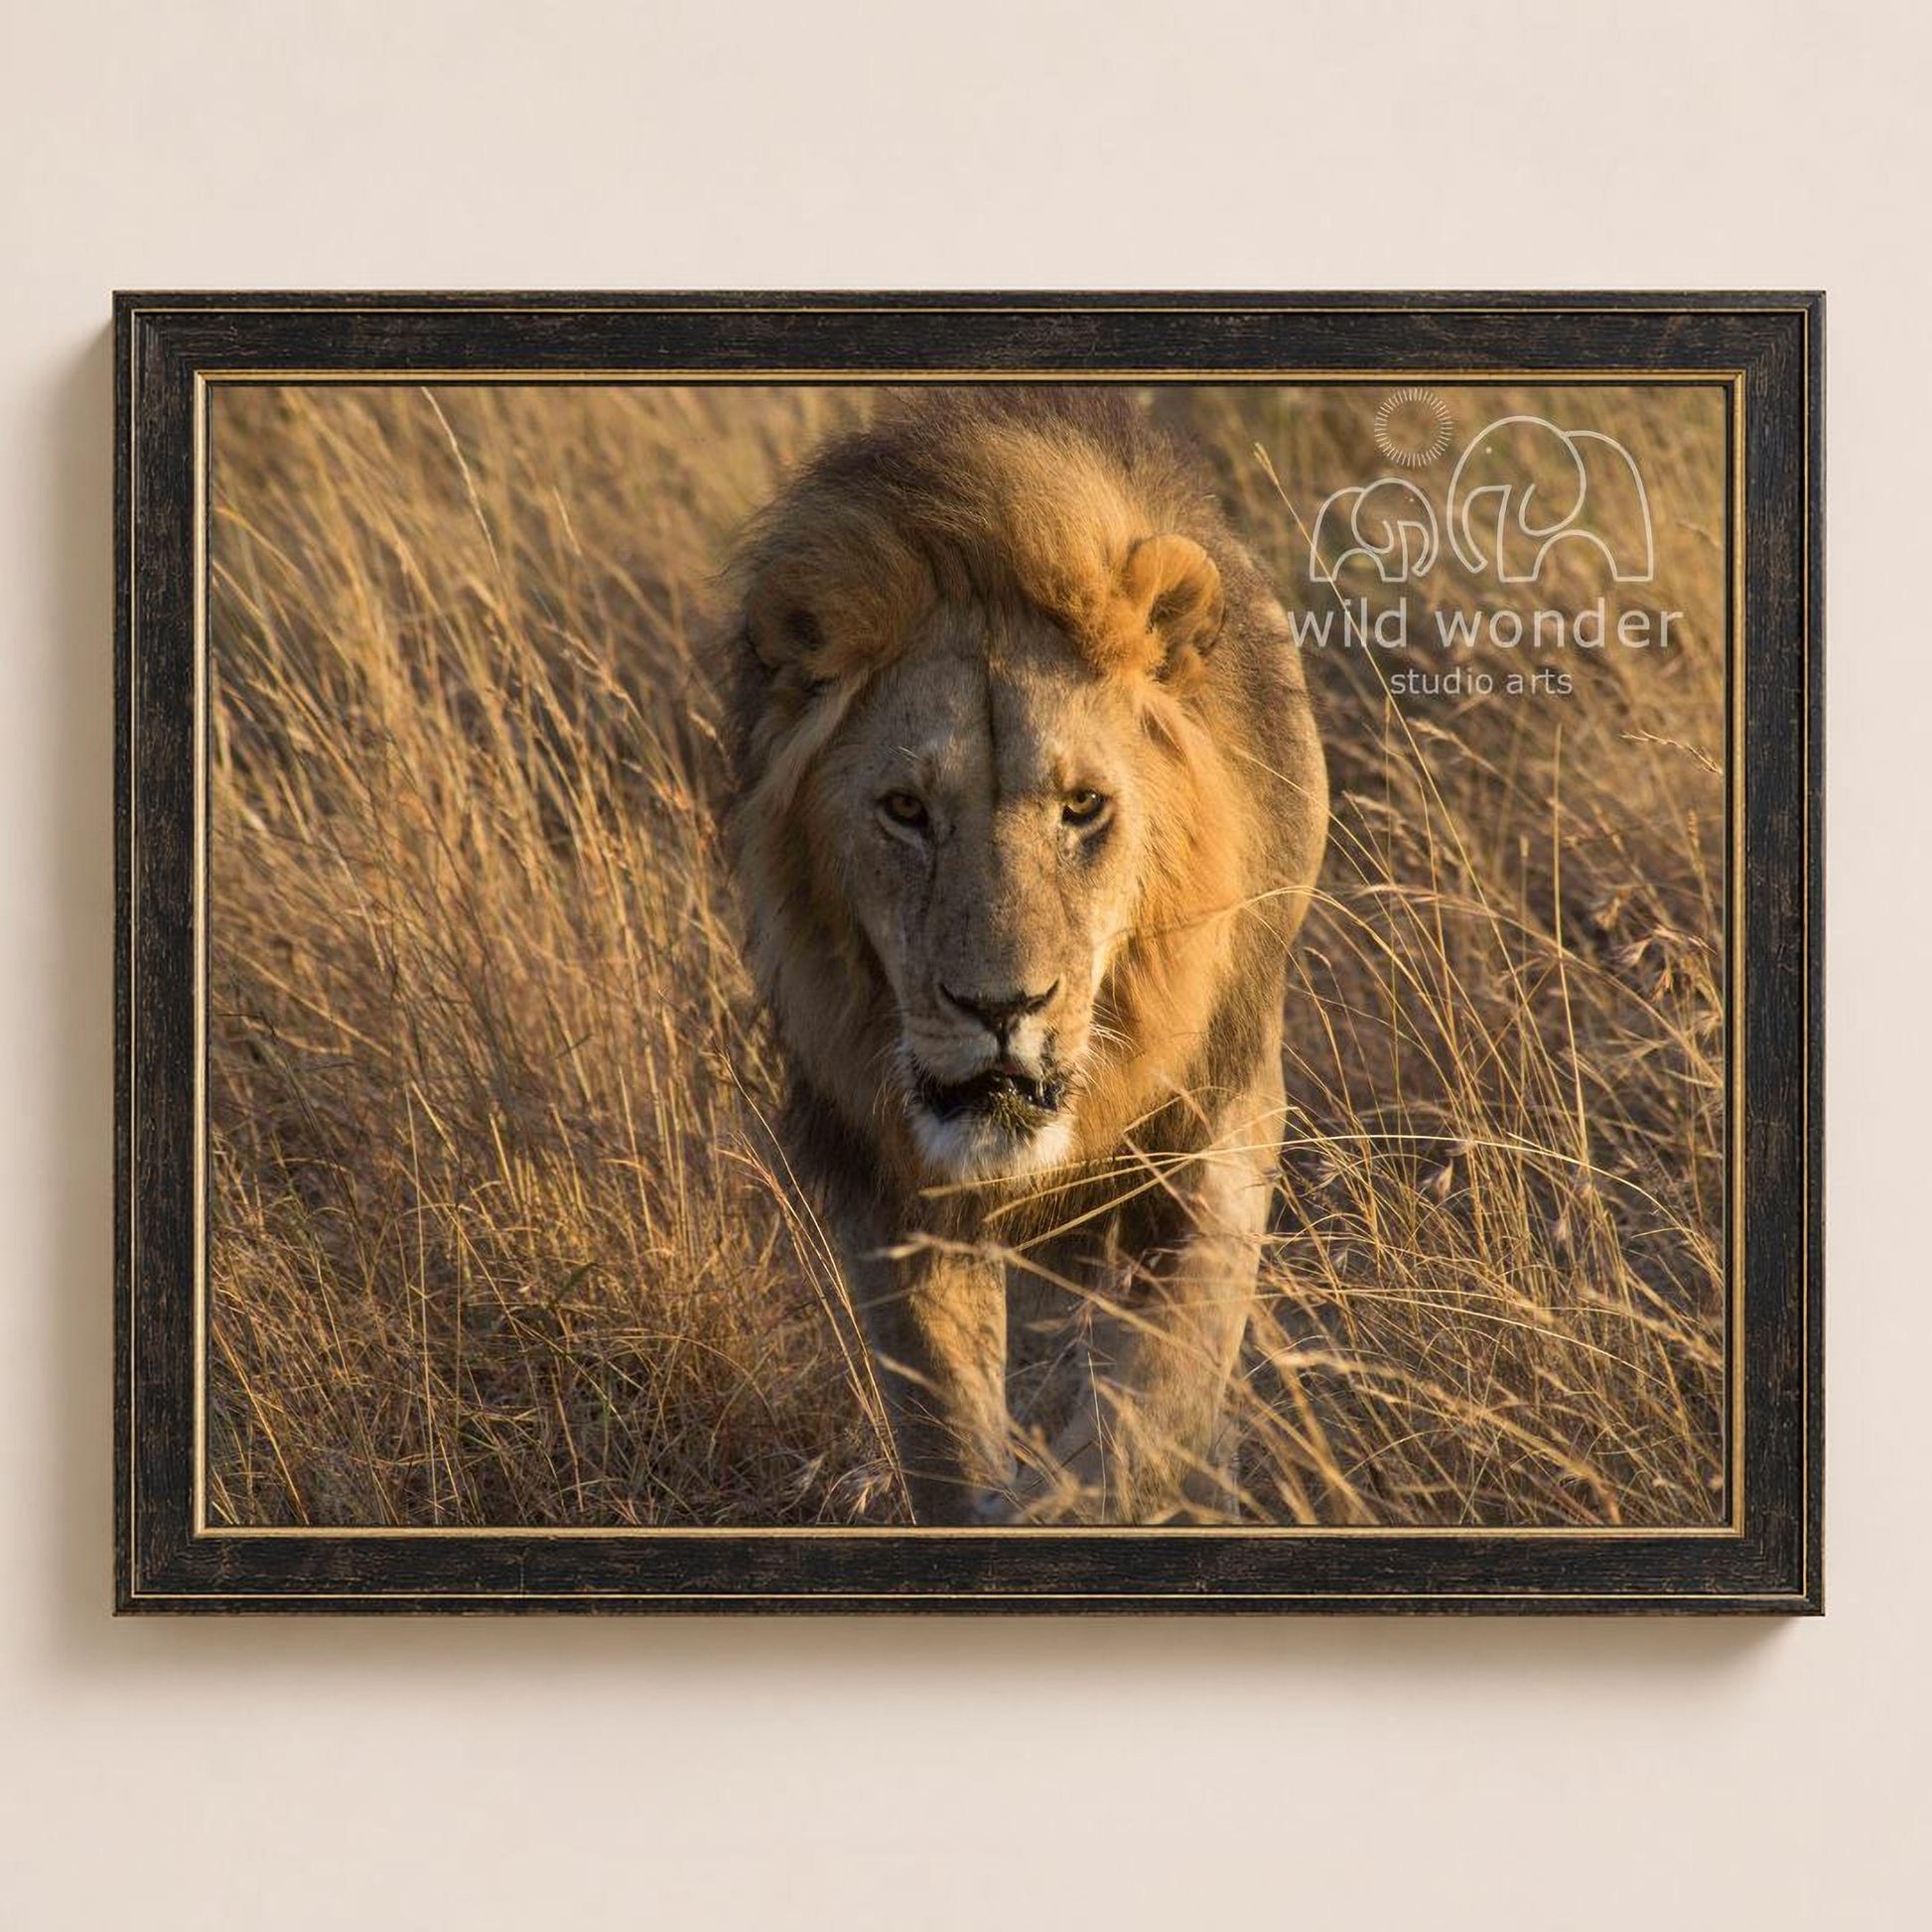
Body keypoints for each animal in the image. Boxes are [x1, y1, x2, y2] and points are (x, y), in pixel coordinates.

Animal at [724, 388, 1328, 1524]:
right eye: (906, 810)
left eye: (1082, 806)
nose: (1001, 1007)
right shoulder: (893, 1183)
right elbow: (948, 1434)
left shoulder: (1218, 1122)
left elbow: (1155, 1403)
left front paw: (1092, 1492)